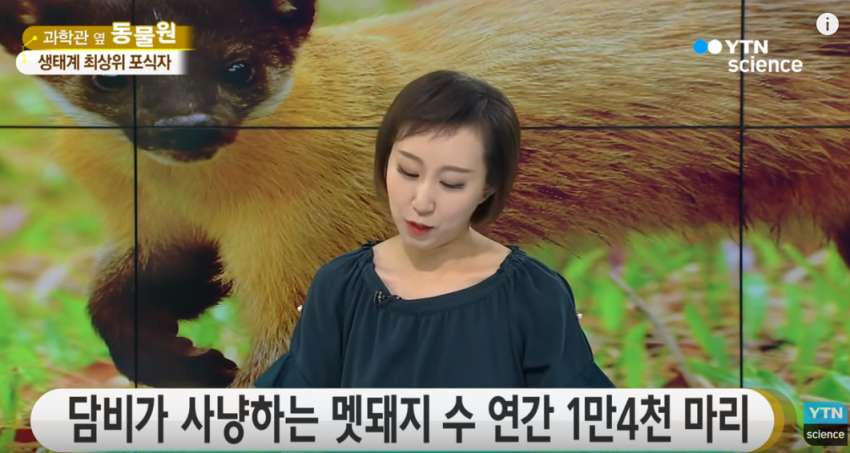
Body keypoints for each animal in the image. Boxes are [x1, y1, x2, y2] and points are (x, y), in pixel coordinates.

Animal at [1, 0, 848, 387]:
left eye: (239, 64)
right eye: (112, 70)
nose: (188, 126)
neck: (214, 196)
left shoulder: (308, 247)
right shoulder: (171, 229)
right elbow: (115, 301)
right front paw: (188, 362)